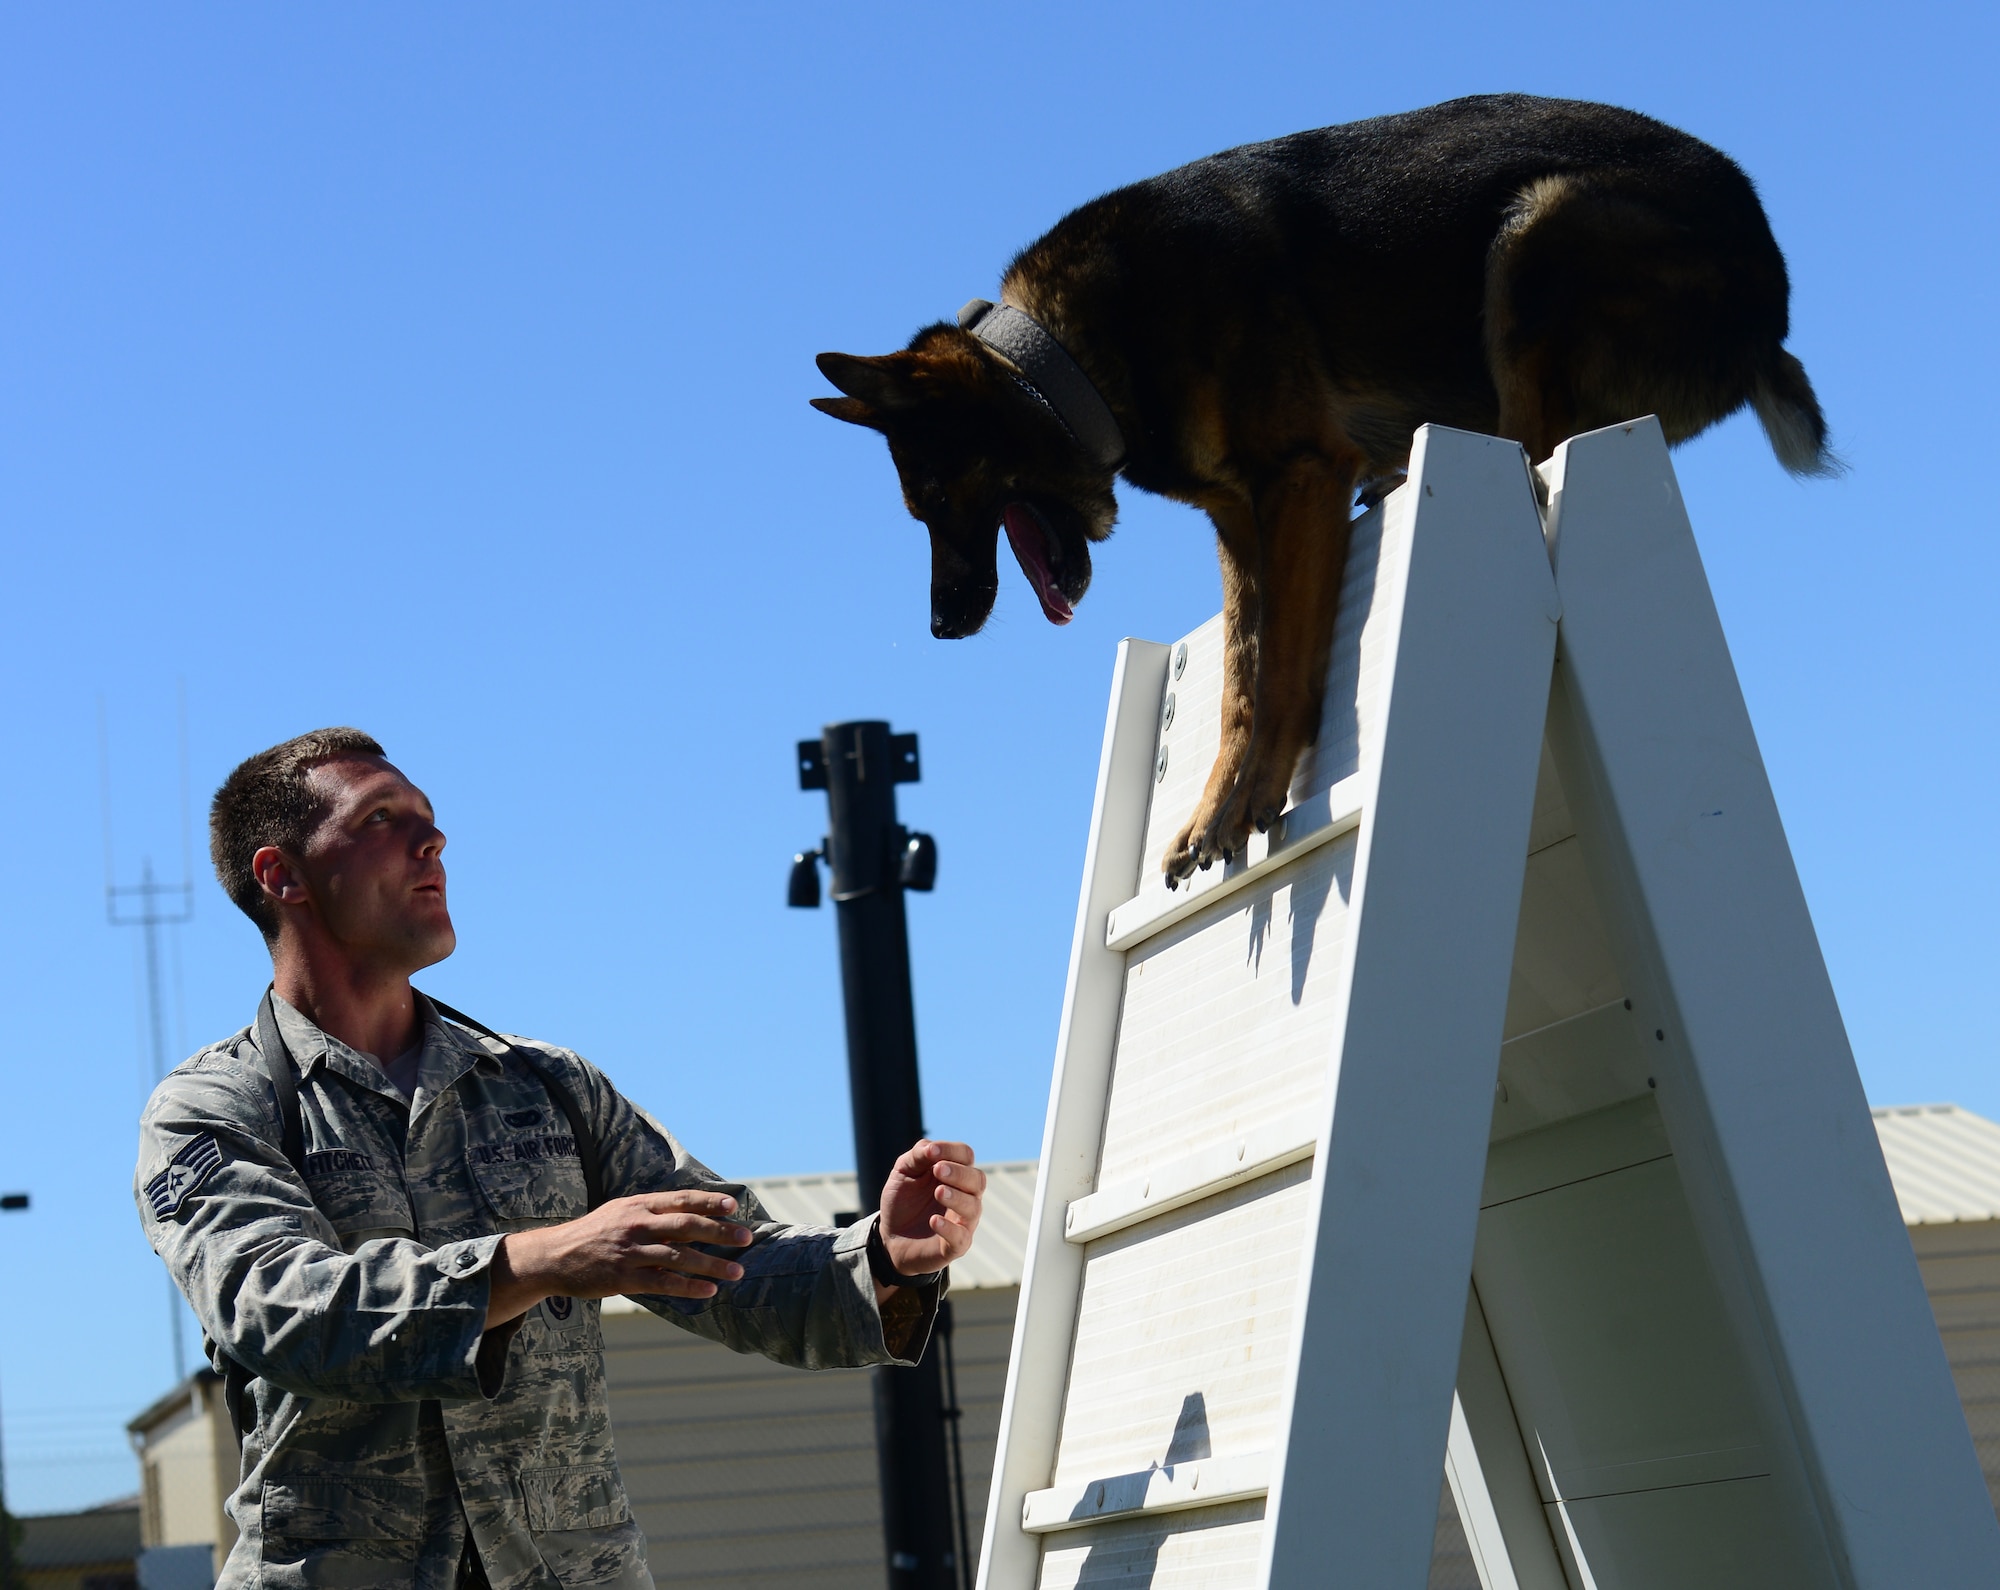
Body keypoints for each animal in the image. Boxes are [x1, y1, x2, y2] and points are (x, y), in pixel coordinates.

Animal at [808, 93, 1832, 884]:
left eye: (936, 498)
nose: (941, 626)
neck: (1069, 361)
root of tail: (1772, 303)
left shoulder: (1299, 480)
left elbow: (1285, 668)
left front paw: (1261, 796)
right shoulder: (1239, 521)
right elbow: (1240, 677)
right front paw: (1214, 812)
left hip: (1532, 238)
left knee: (1527, 443)